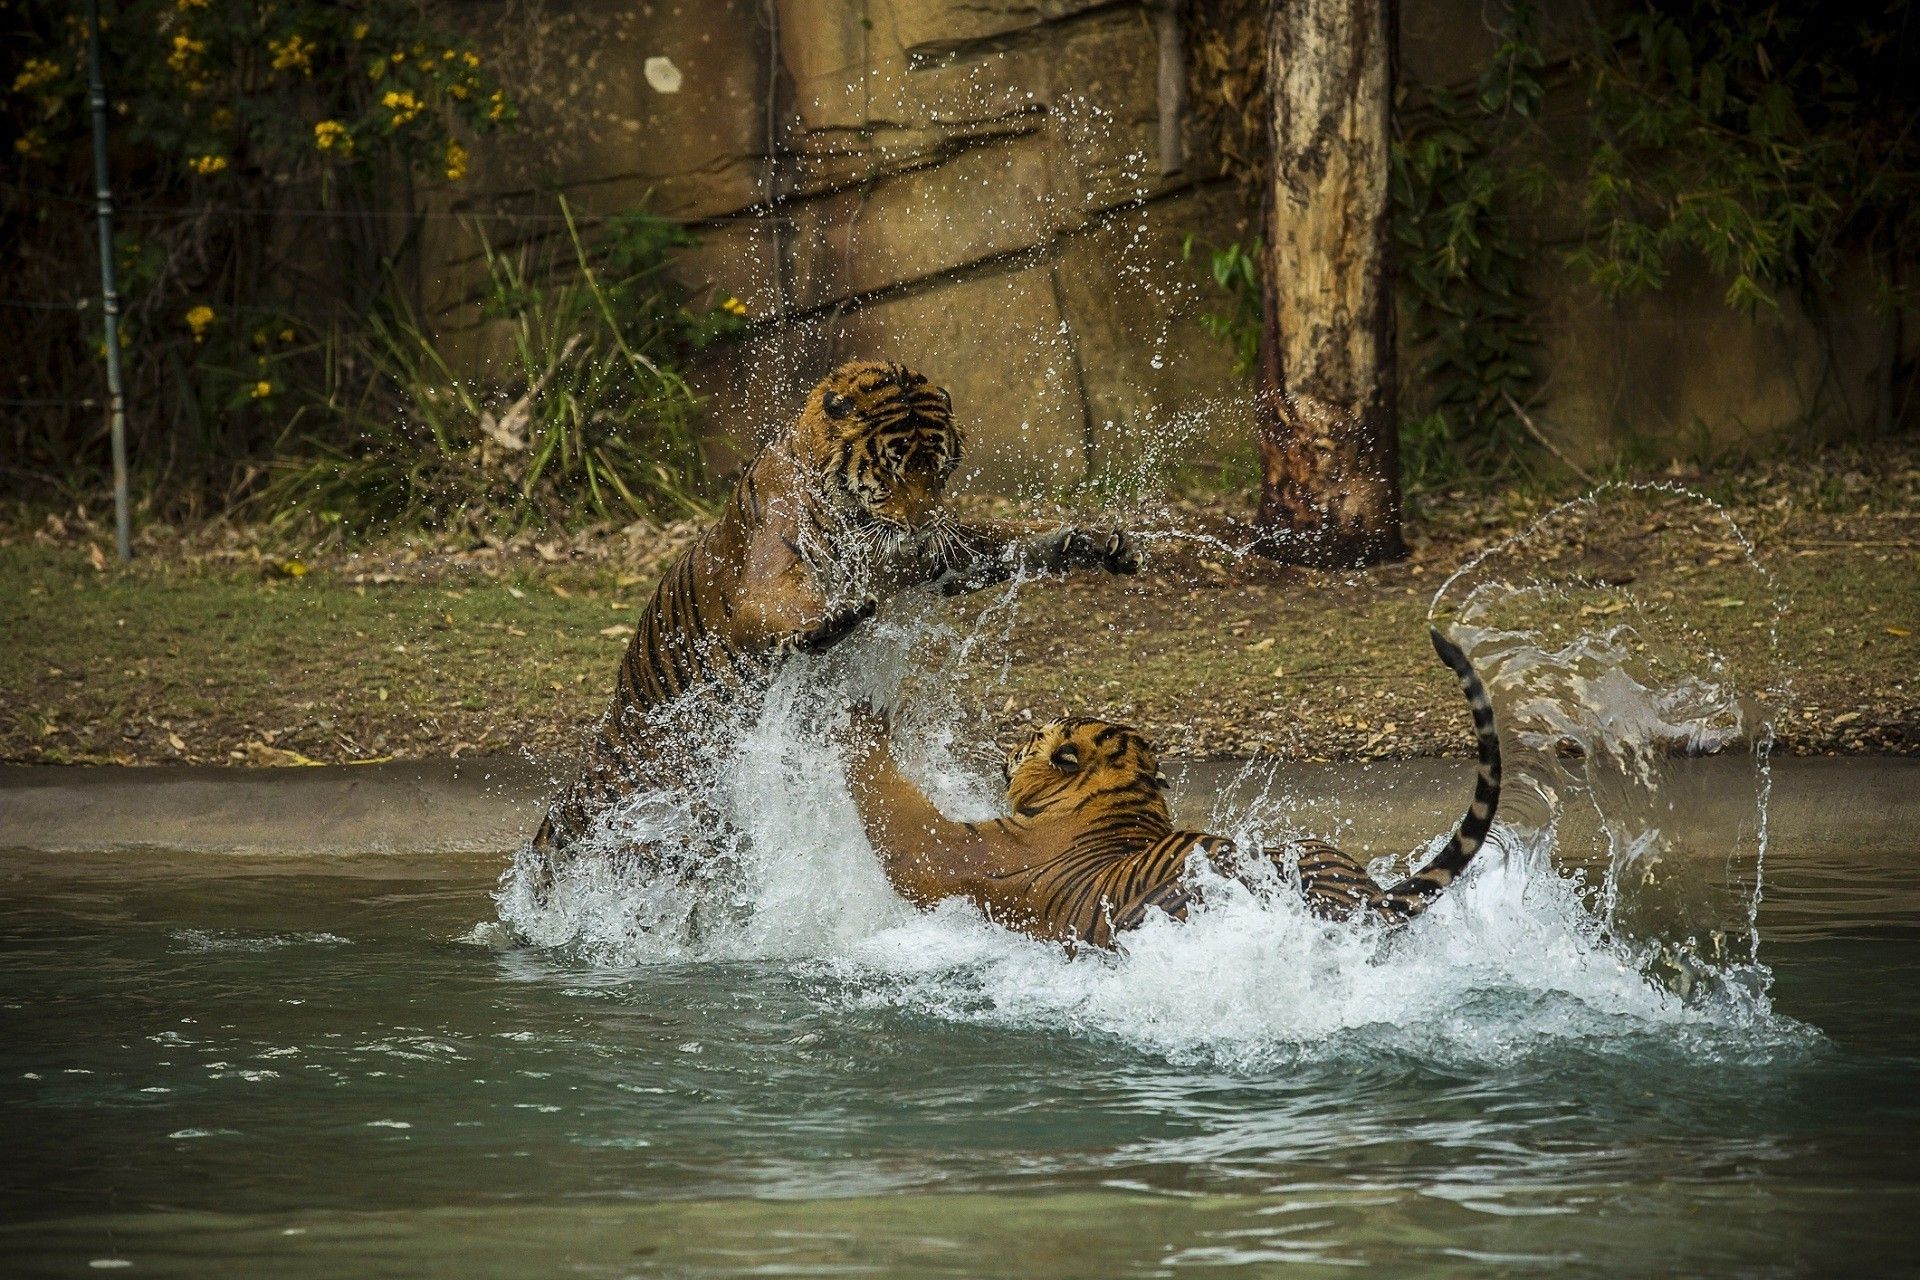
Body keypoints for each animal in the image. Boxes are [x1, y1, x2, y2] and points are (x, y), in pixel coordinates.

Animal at [532, 357, 1140, 871]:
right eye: (892, 472)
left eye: (939, 470)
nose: (923, 523)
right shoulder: (764, 574)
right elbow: (786, 603)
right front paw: (835, 616)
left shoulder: (927, 557)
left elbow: (1001, 540)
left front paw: (1091, 543)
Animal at [842, 628, 1501, 950]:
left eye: (1030, 735)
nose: (1008, 747)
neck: (1119, 797)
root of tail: (1362, 902)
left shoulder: (951, 849)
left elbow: (894, 805)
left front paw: (858, 715)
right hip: (1310, 844)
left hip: (1178, 900)